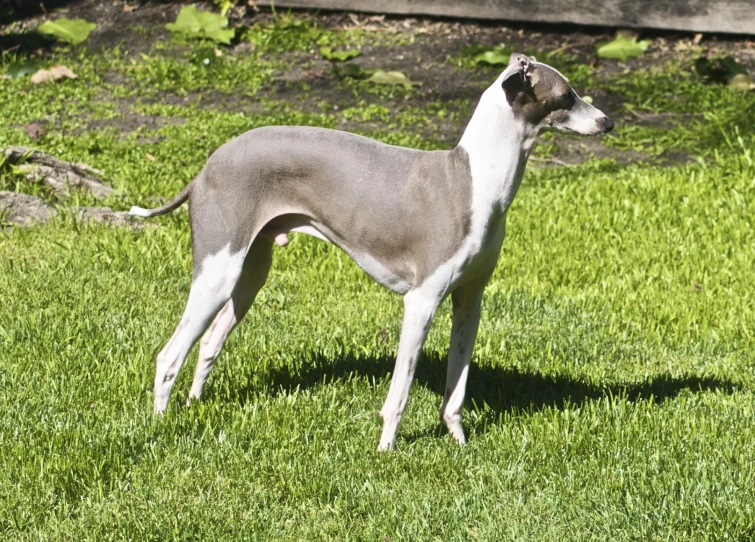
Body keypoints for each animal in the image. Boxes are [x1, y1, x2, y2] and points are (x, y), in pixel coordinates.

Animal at [130, 54, 616, 450]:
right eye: (566, 94)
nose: (608, 122)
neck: (473, 180)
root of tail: (205, 169)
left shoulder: (469, 301)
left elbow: (455, 390)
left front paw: (459, 444)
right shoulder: (421, 302)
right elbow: (399, 392)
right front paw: (386, 450)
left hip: (249, 273)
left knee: (209, 344)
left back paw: (194, 407)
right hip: (218, 273)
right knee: (169, 356)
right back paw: (160, 426)